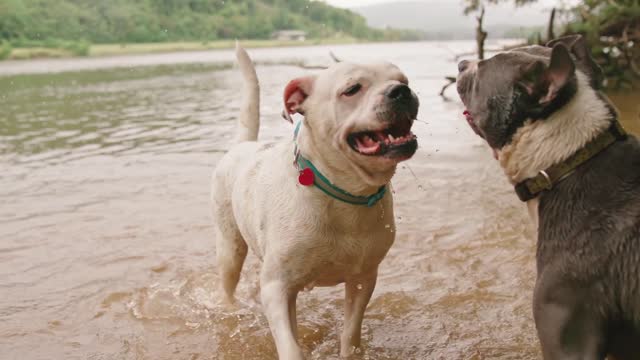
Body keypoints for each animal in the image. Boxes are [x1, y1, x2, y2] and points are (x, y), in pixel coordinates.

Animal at [210, 46, 420, 358]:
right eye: (352, 89)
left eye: (403, 79)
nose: (401, 91)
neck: (344, 193)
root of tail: (242, 146)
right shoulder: (276, 287)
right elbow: (290, 347)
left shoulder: (364, 277)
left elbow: (350, 332)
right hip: (230, 247)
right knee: (228, 280)